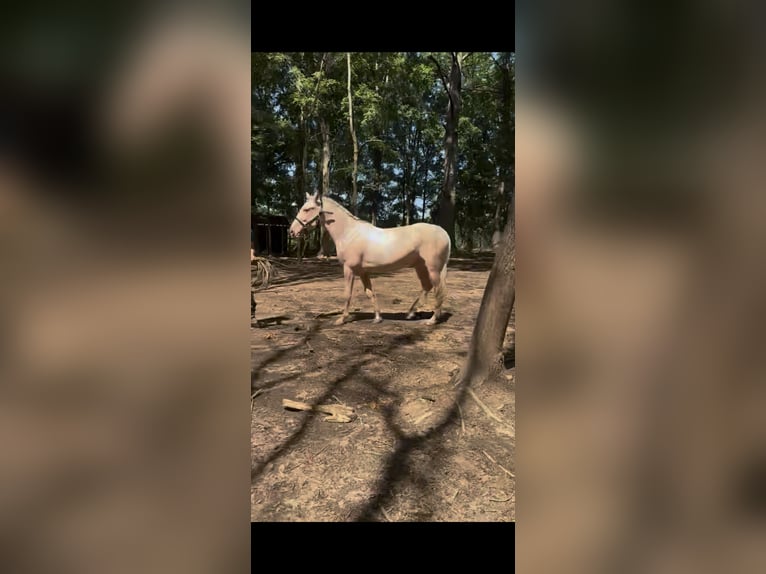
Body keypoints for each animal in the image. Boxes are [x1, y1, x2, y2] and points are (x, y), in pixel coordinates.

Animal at [289, 190, 451, 326]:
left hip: (433, 269)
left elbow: (347, 294)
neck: (349, 233)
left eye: (307, 209)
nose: (292, 231)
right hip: (420, 267)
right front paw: (377, 318)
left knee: (438, 290)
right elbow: (370, 293)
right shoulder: (363, 272)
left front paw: (342, 319)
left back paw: (432, 320)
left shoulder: (349, 269)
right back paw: (410, 313)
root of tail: (444, 233)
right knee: (427, 287)